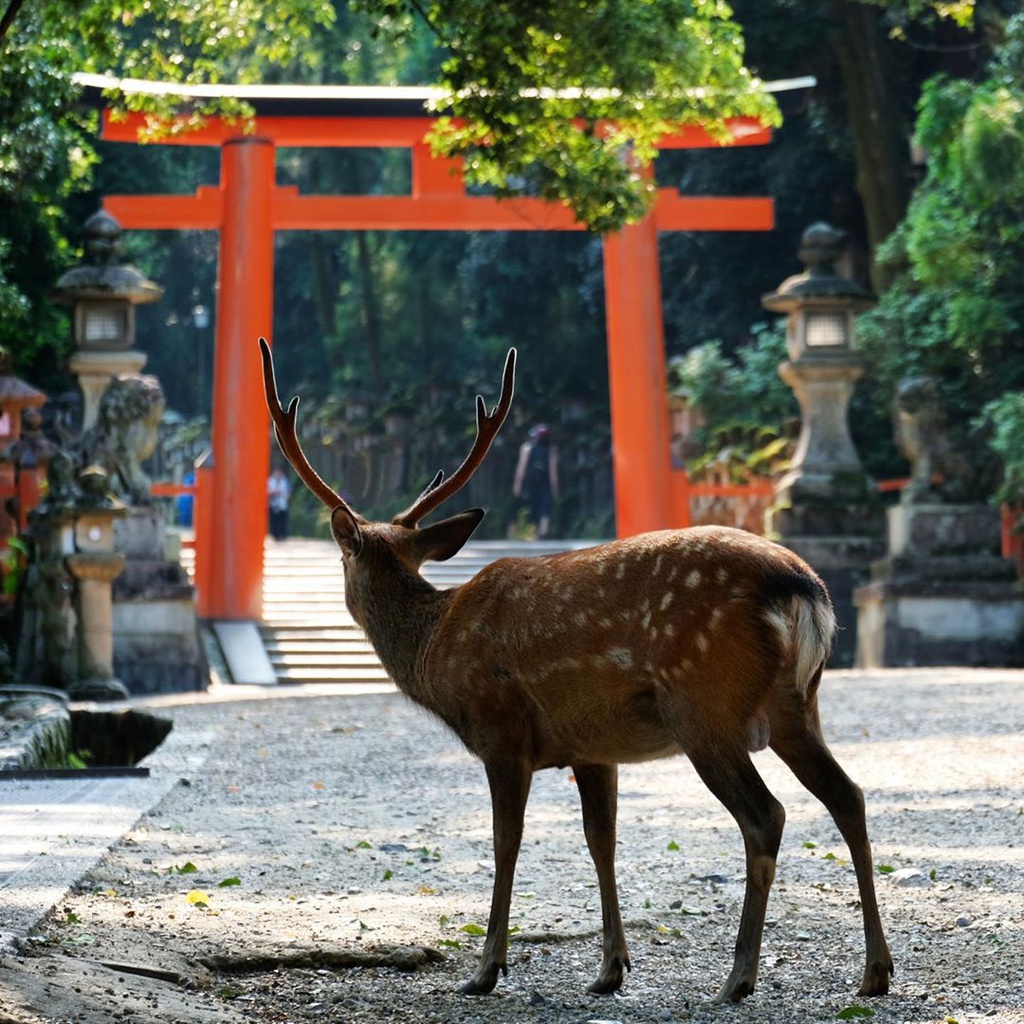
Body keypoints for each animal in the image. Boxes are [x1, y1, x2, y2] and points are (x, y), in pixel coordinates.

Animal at [260, 339, 892, 1003]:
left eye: (342, 561)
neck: (435, 650)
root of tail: (802, 587)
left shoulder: (501, 731)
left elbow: (506, 842)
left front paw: (485, 969)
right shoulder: (592, 746)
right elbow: (600, 841)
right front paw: (610, 968)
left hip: (704, 707)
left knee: (765, 815)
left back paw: (738, 977)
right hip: (797, 705)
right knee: (849, 796)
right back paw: (874, 971)